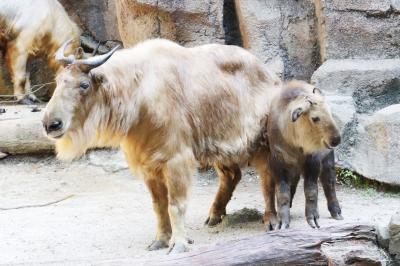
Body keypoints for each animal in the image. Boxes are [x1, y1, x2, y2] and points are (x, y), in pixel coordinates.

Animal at [42, 38, 282, 252]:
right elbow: (159, 206)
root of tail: (271, 76)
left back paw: (271, 220)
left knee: (267, 178)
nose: (50, 124)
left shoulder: (176, 160)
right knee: (231, 176)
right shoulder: (149, 166)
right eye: (58, 80)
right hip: (222, 146)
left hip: (261, 142)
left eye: (84, 85)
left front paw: (179, 244)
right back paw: (214, 216)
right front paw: (160, 240)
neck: (139, 92)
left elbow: (175, 205)